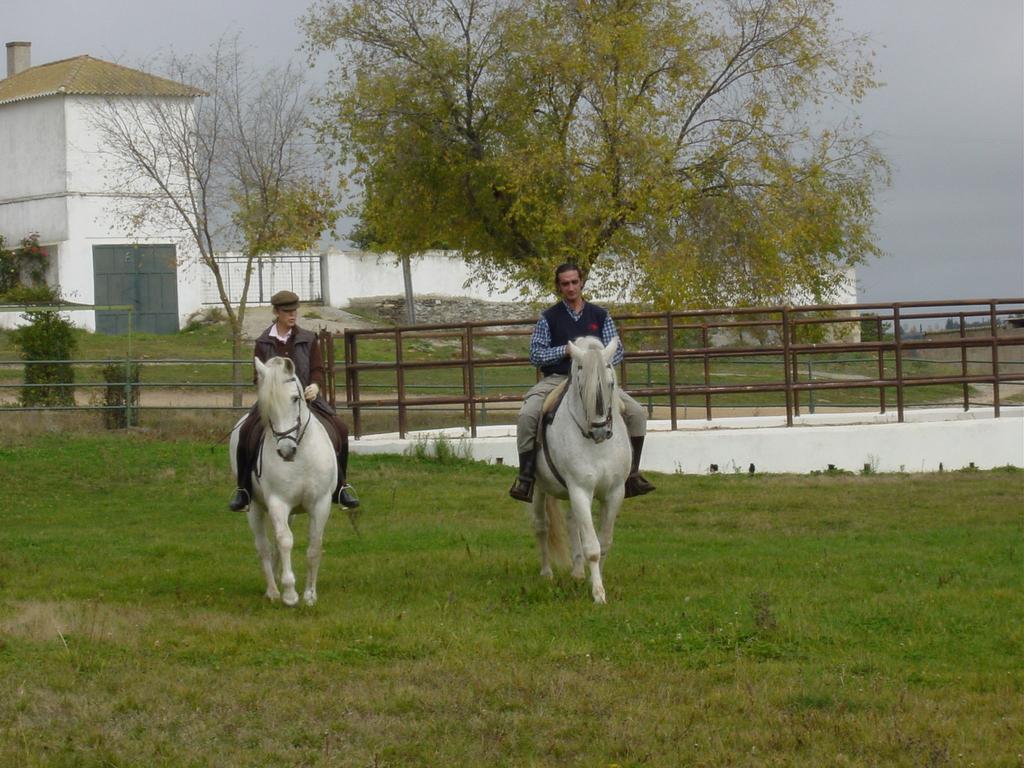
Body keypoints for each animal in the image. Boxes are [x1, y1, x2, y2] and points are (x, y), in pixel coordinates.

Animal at [228, 360, 335, 606]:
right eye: (267, 404)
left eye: (295, 398)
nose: (286, 451)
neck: (301, 456)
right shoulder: (278, 502)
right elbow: (285, 541)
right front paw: (289, 594)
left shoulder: (321, 503)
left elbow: (314, 546)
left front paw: (310, 595)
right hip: (254, 506)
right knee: (264, 546)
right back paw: (273, 591)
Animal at [528, 339, 630, 606]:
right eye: (582, 387)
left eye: (611, 383)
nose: (600, 430)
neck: (597, 445)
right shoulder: (580, 490)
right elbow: (592, 547)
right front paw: (598, 594)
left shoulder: (614, 493)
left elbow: (604, 543)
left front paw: (595, 582)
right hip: (539, 489)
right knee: (541, 526)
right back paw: (547, 573)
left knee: (572, 522)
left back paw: (576, 573)